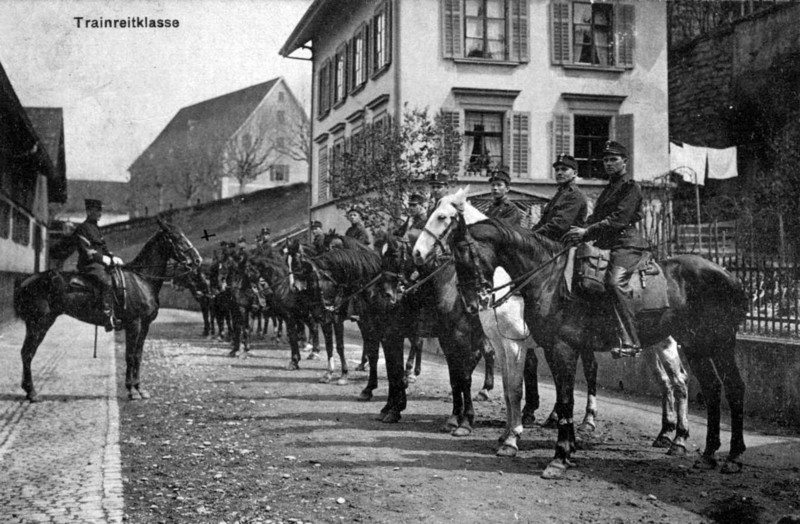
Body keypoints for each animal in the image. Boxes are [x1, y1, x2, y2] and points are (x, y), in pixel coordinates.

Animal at [13, 219, 202, 404]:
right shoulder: (134, 324)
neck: (142, 280)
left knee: (27, 353)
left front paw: (140, 389)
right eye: (177, 238)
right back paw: (32, 392)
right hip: (39, 323)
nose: (197, 261)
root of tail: (28, 280)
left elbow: (138, 355)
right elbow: (130, 355)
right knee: (27, 353)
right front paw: (131, 390)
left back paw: (28, 390)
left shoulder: (145, 325)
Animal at [412, 190, 752, 476]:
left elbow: (530, 392)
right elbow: (519, 391)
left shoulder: (533, 345)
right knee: (700, 387)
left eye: (442, 217)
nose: (472, 301)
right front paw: (515, 436)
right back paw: (692, 447)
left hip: (713, 342)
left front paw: (547, 452)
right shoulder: (519, 345)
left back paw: (714, 450)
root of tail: (729, 276)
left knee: (712, 386)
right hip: (690, 344)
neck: (544, 279)